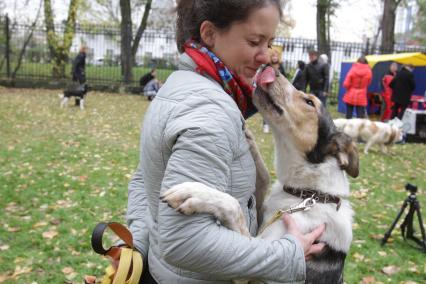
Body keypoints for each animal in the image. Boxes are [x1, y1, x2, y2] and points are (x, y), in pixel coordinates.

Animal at [160, 66, 360, 284]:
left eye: (309, 102)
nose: (269, 68)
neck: (308, 194)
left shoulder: (253, 272)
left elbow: (233, 206)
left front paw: (194, 193)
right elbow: (261, 176)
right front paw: (245, 132)